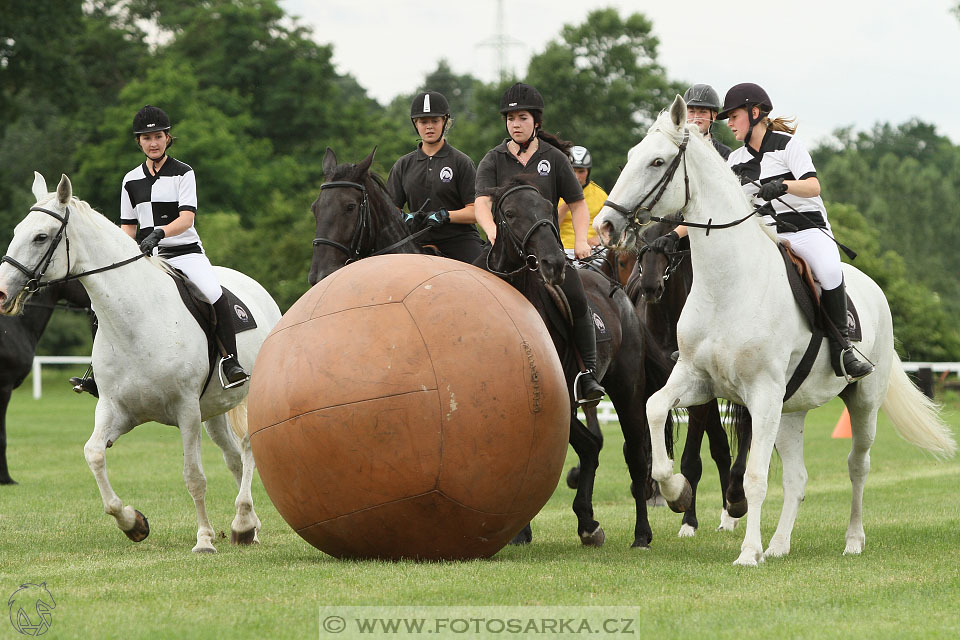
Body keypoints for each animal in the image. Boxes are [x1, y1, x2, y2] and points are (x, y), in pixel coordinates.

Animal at [312, 148, 672, 548]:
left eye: (349, 206)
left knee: (635, 454)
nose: (319, 274)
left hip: (626, 388)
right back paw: (587, 523)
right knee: (592, 445)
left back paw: (641, 533)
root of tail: (618, 291)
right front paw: (523, 531)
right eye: (316, 208)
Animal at [624, 222, 752, 532]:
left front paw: (688, 520)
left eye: (669, 249)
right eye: (641, 247)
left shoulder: (699, 397)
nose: (651, 286)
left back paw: (734, 502)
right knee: (720, 447)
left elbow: (691, 460)